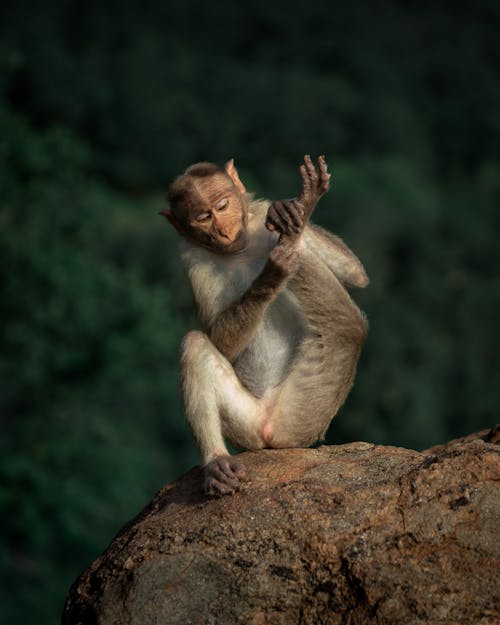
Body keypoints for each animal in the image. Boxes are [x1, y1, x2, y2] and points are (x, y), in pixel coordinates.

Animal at [160, 156, 368, 498]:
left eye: (222, 205)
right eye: (203, 217)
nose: (223, 230)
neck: (240, 249)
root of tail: (270, 434)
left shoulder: (257, 215)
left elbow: (355, 273)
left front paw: (287, 210)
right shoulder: (193, 260)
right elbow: (219, 339)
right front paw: (272, 274)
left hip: (303, 412)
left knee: (349, 327)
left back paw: (298, 221)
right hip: (249, 426)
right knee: (194, 343)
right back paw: (216, 461)